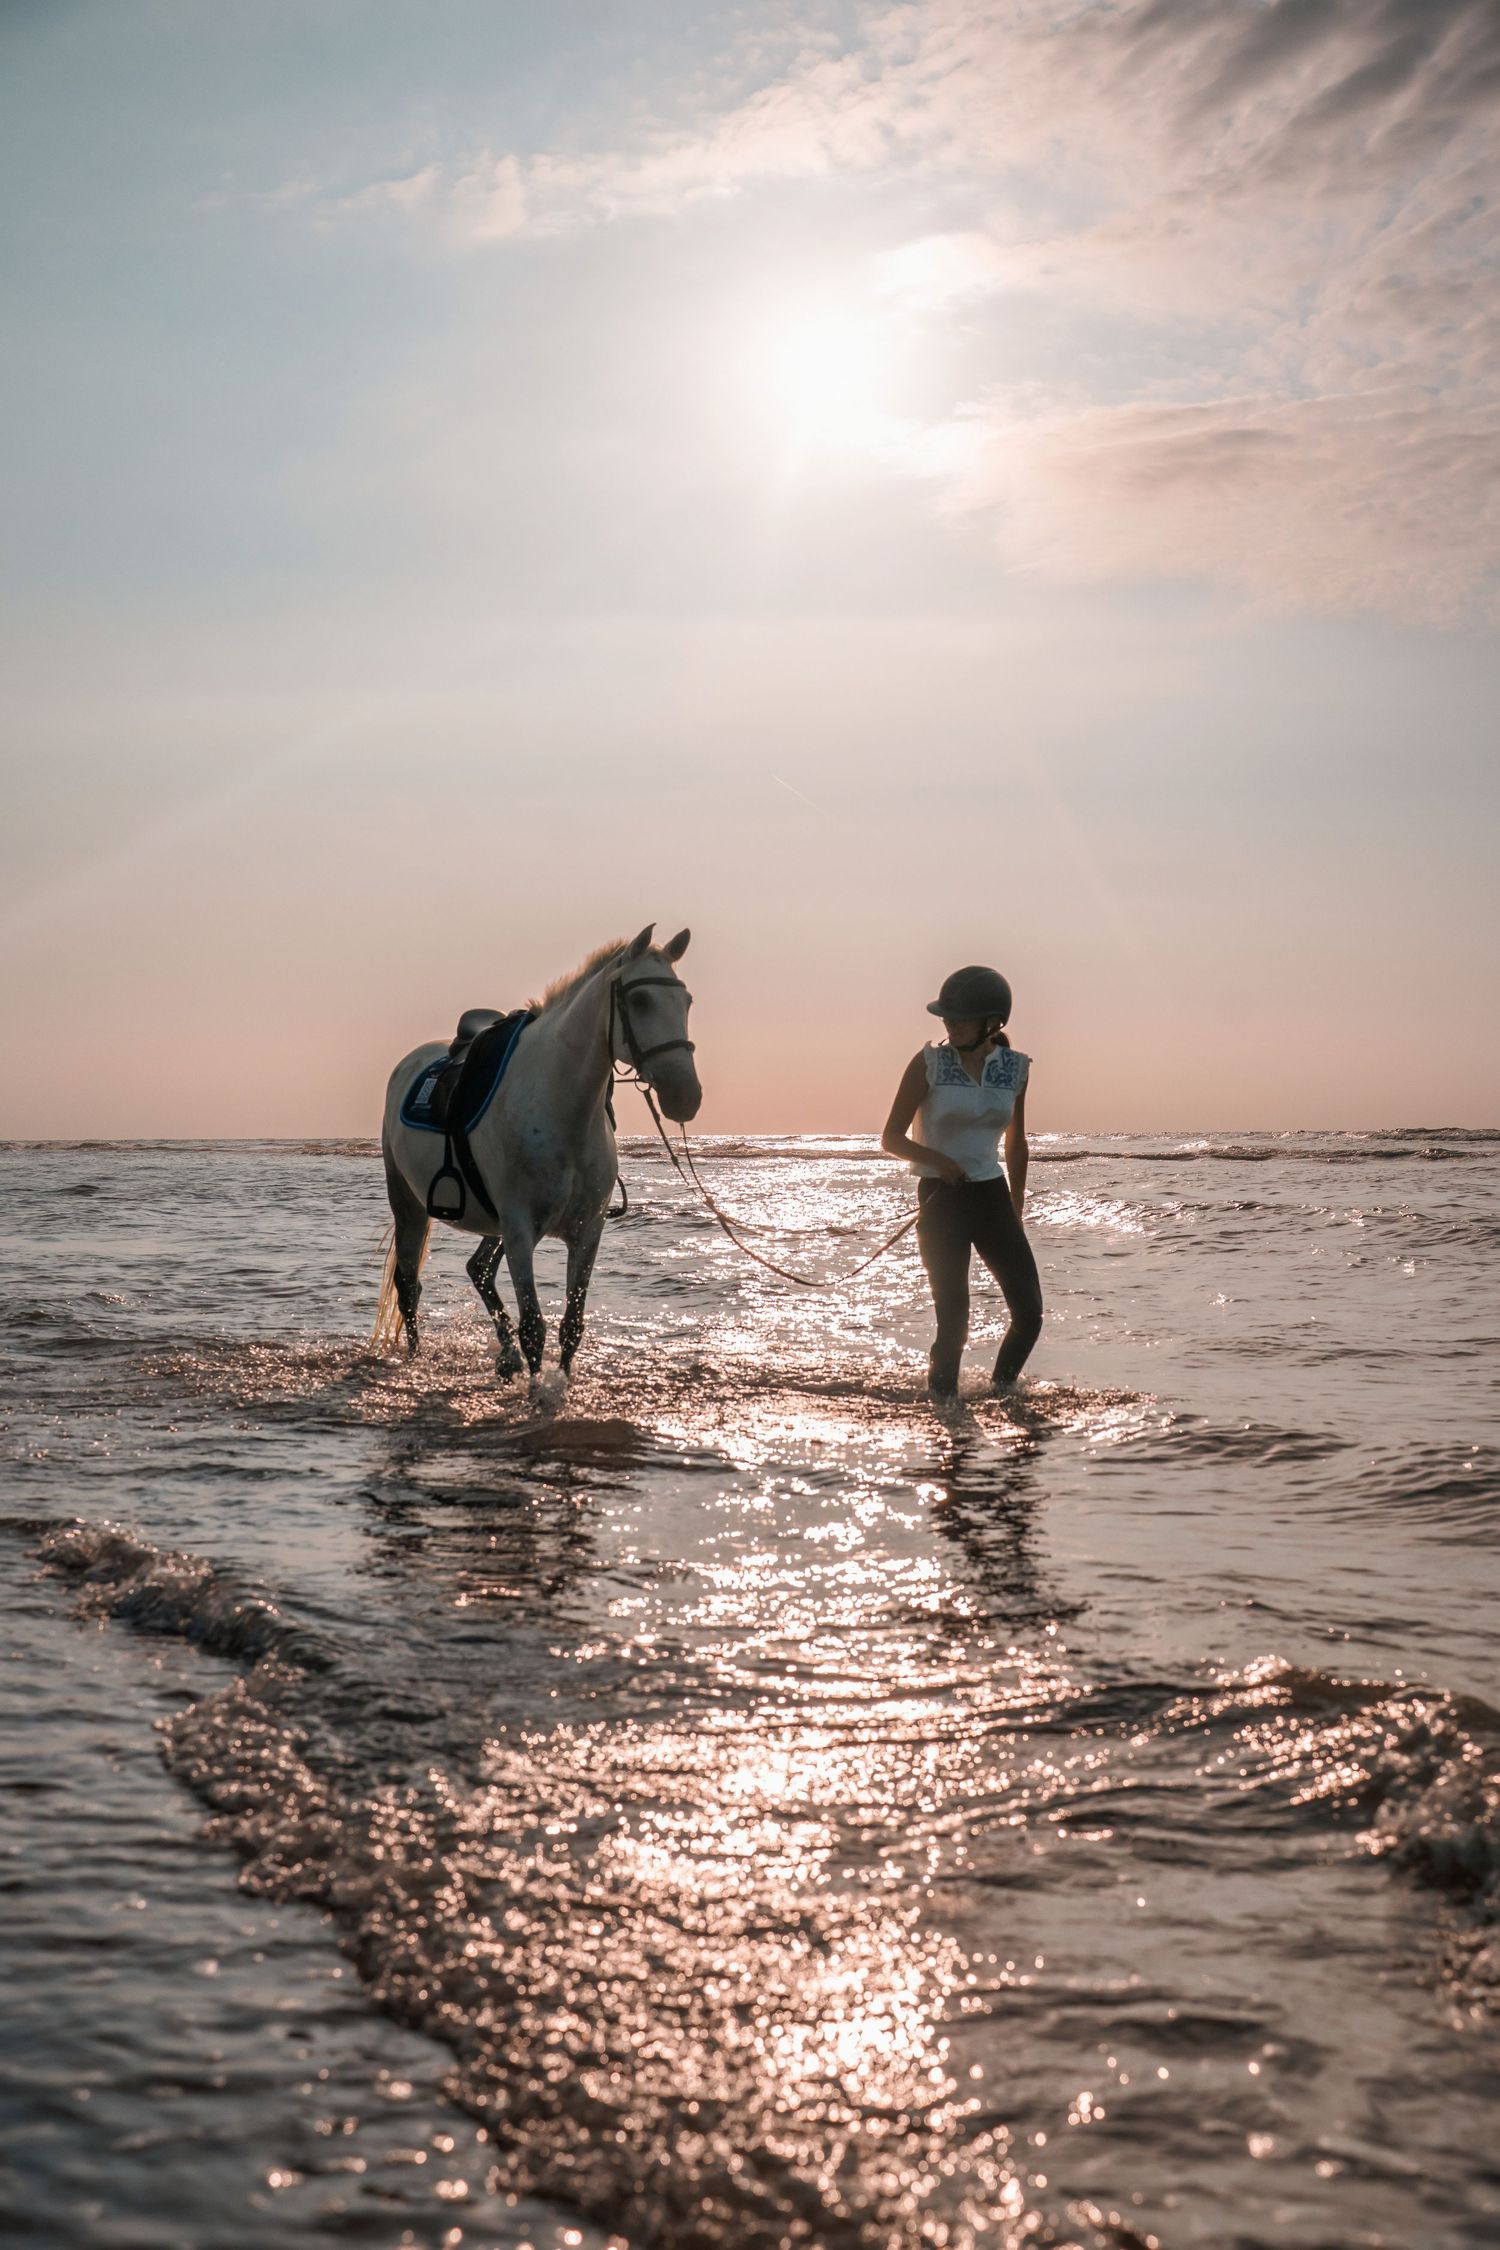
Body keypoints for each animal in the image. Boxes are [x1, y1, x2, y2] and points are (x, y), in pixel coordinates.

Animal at [375, 924, 700, 1383]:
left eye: (686, 1002)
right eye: (639, 1000)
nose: (686, 1096)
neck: (561, 1106)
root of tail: (411, 1061)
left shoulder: (587, 1231)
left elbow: (571, 1326)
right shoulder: (520, 1230)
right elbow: (534, 1327)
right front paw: (536, 1393)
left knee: (479, 1270)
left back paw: (505, 1356)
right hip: (409, 1205)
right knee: (409, 1287)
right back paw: (416, 1360)